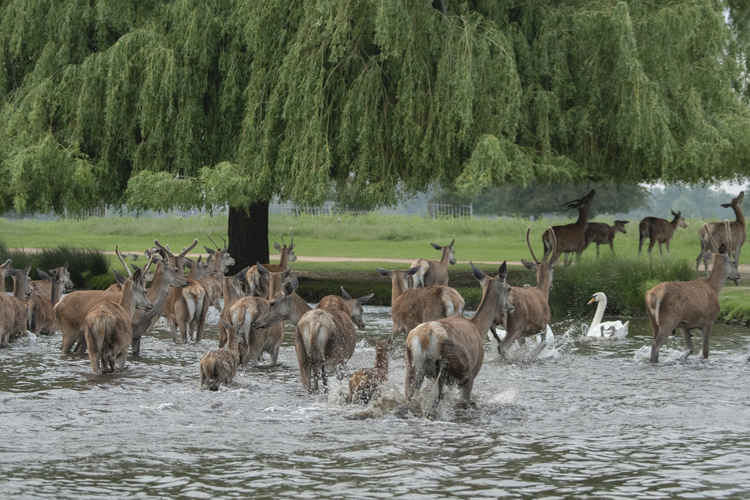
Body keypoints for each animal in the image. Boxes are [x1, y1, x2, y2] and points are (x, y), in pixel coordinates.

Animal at [406, 260, 516, 412]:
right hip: (449, 369)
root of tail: (424, 339)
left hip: (412, 368)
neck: (478, 328)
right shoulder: (470, 375)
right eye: (509, 288)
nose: (512, 306)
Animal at [494, 229, 560, 362]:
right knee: (501, 346)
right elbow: (544, 343)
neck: (543, 293)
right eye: (554, 268)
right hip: (516, 325)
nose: (552, 285)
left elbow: (525, 347)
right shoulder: (543, 324)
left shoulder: (523, 335)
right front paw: (531, 357)